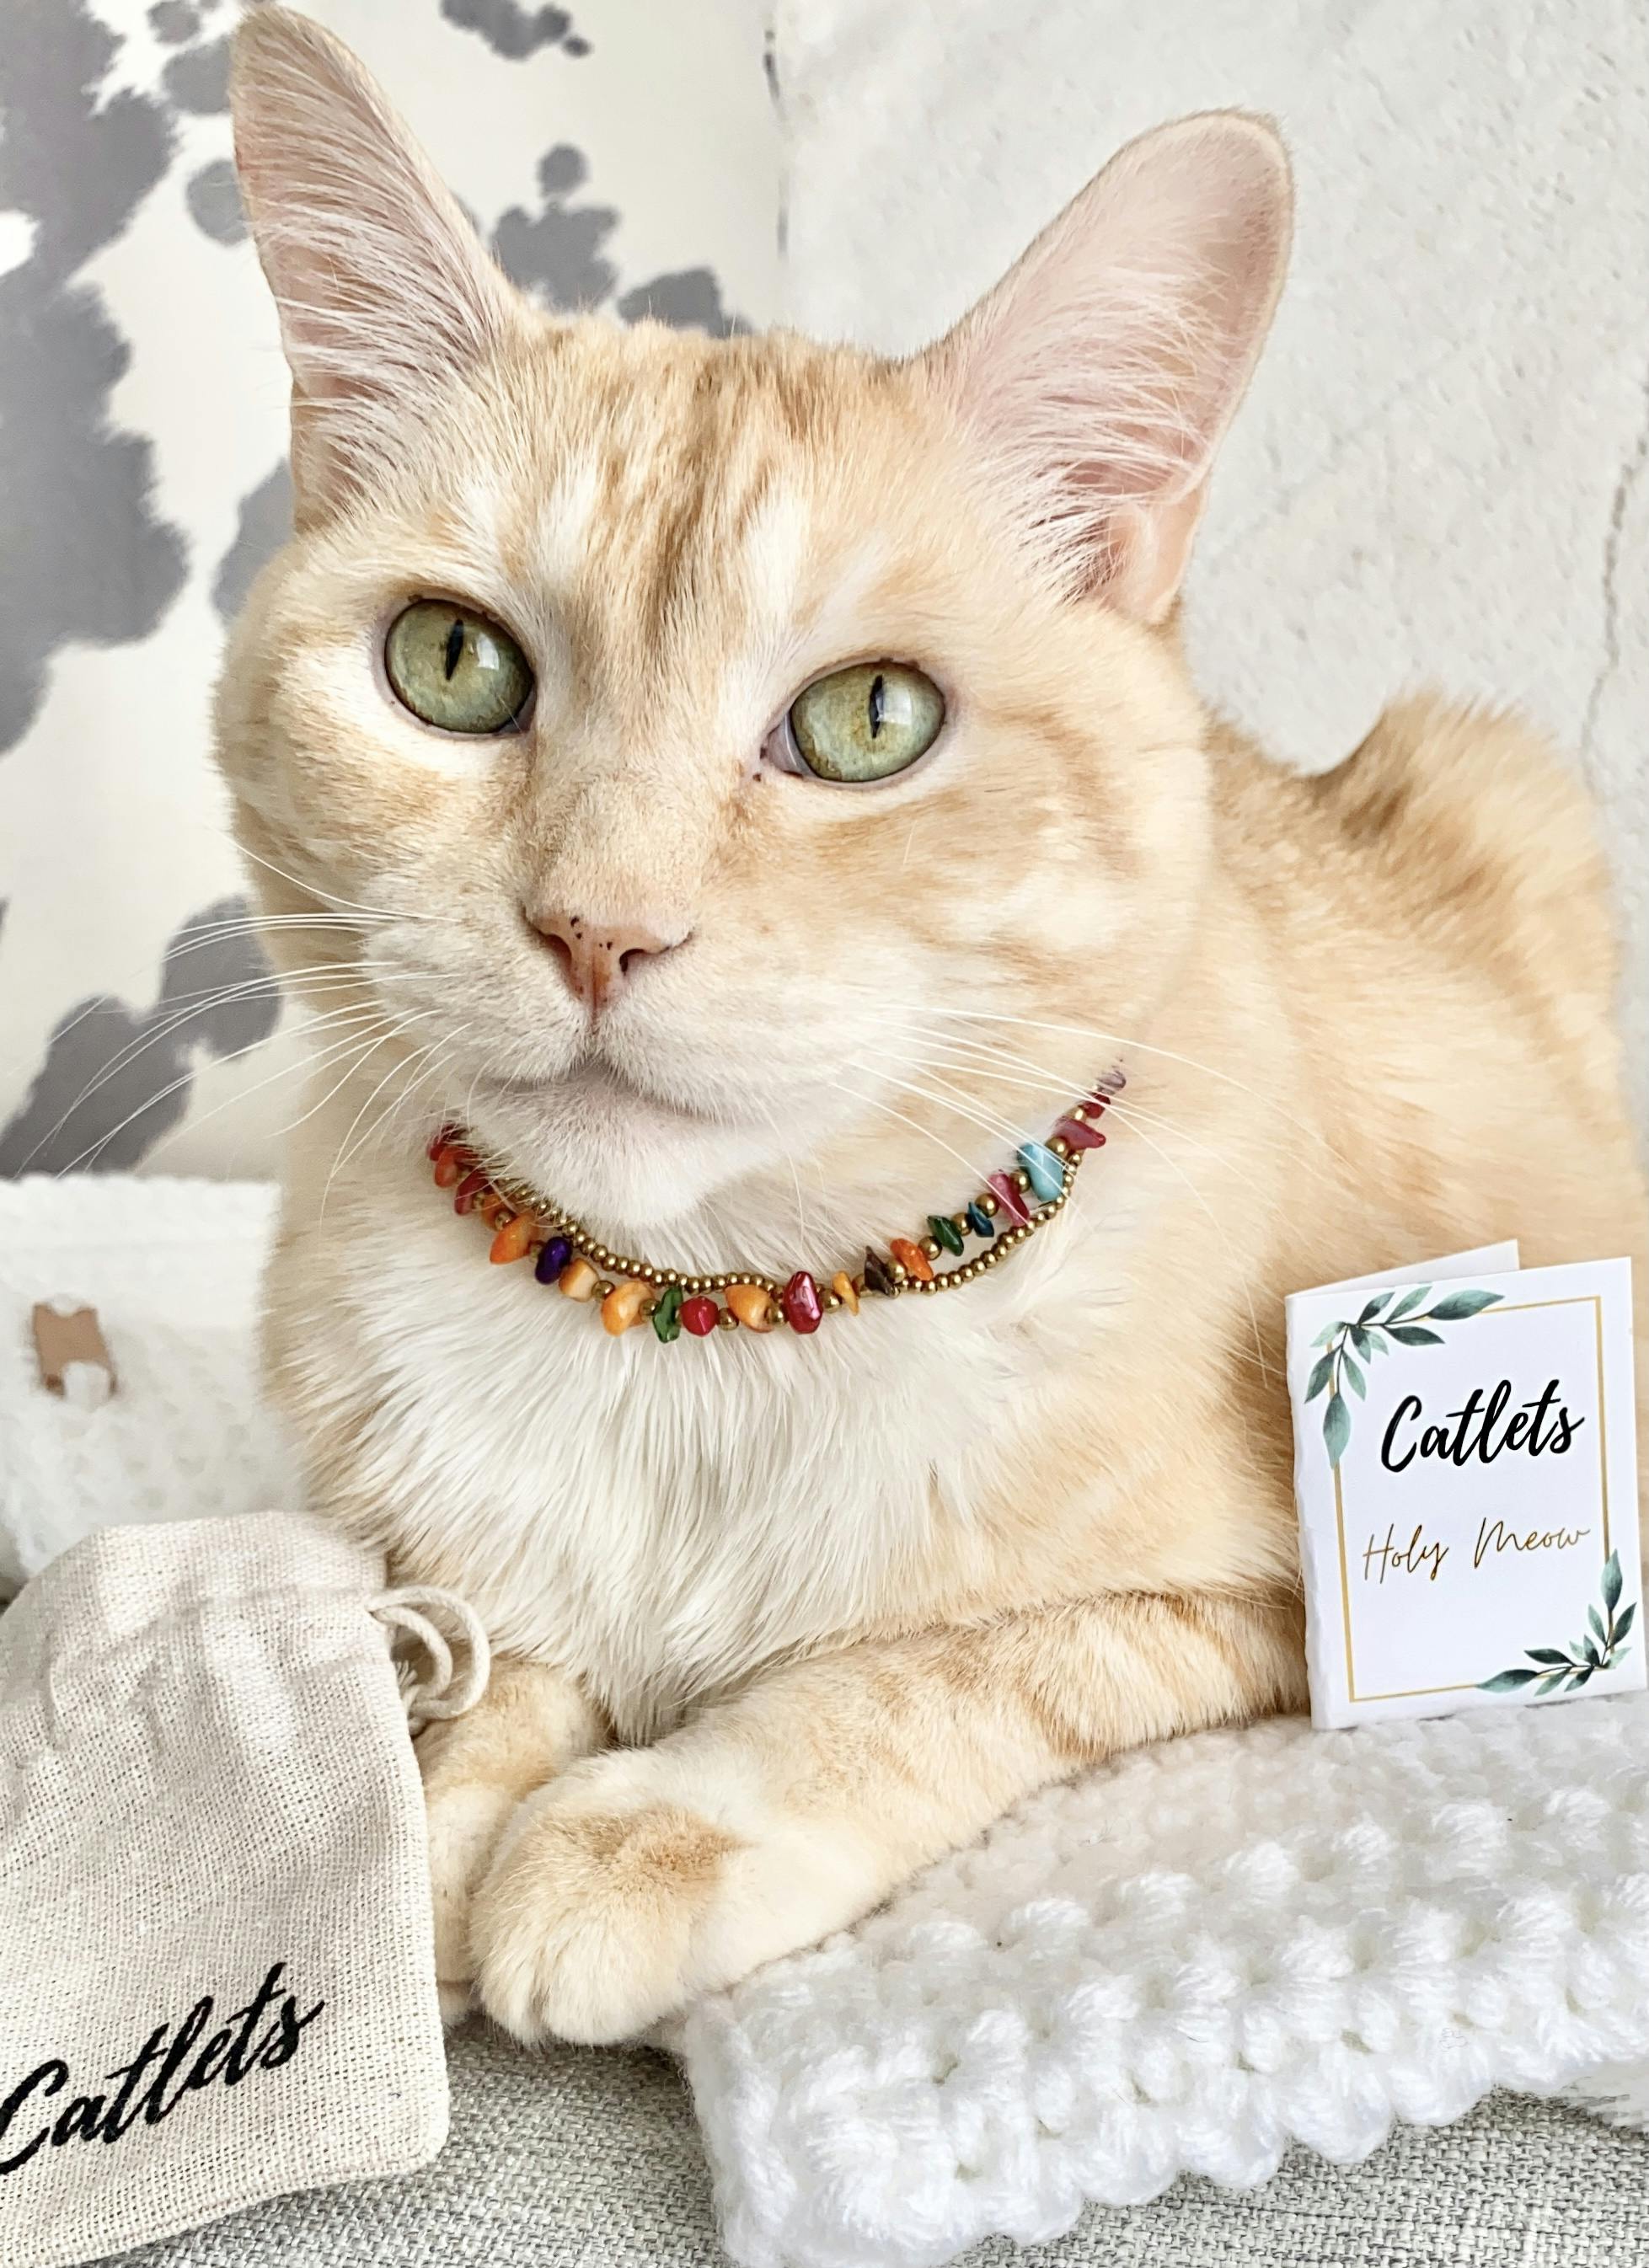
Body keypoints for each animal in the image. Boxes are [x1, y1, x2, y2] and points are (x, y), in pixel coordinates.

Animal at [222, 8, 1649, 2046]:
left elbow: (919, 1675)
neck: (701, 1329)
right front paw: (428, 1845)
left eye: (867, 721)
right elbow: (491, 1681)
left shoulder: (1248, 1610)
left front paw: (638, 1833)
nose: (596, 925)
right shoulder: (442, 1554)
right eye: (451, 663)